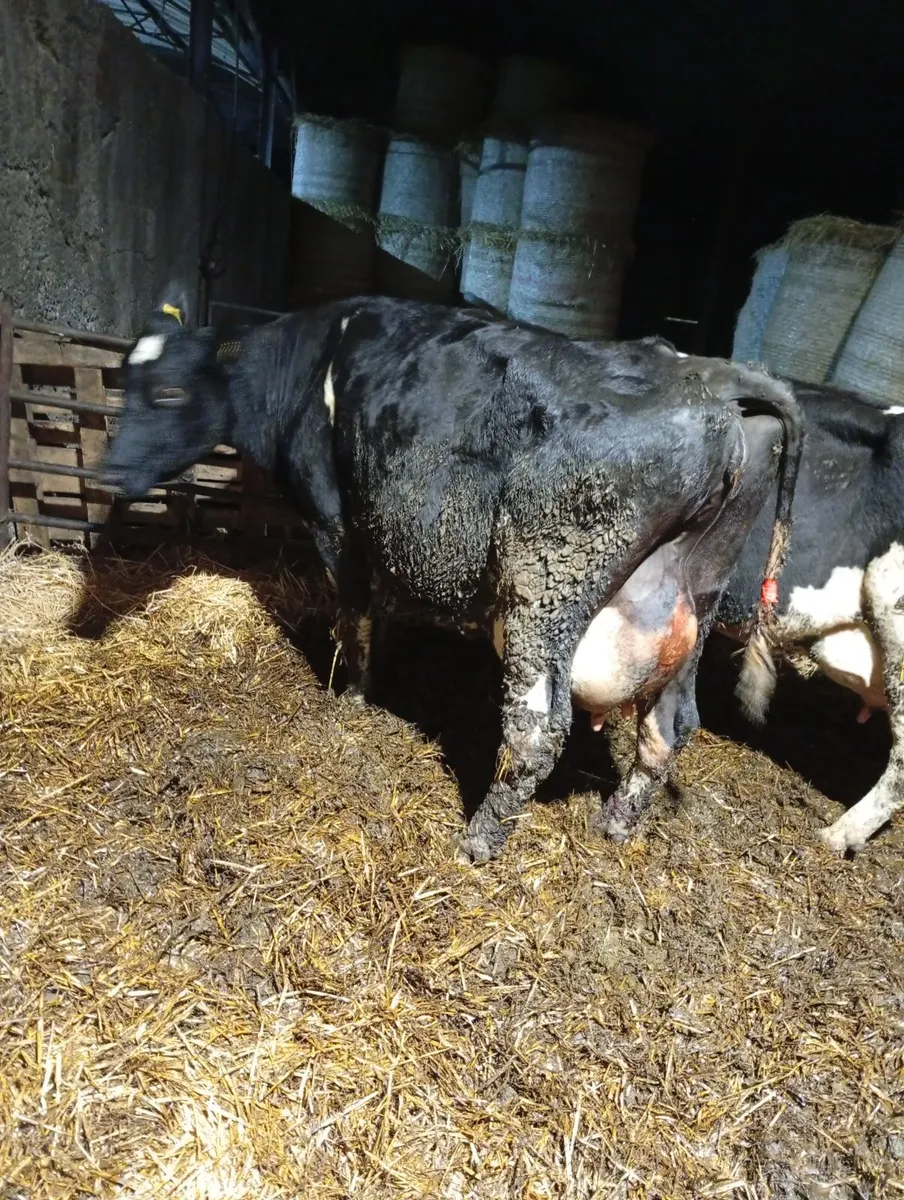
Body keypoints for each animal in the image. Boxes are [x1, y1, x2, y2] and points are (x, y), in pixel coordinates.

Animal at [101, 289, 803, 863]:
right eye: (121, 383)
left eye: (168, 392)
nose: (108, 474)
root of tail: (708, 379)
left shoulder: (335, 522)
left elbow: (355, 614)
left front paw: (353, 695)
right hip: (692, 598)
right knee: (671, 725)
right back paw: (616, 824)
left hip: (547, 584)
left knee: (538, 728)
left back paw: (479, 840)